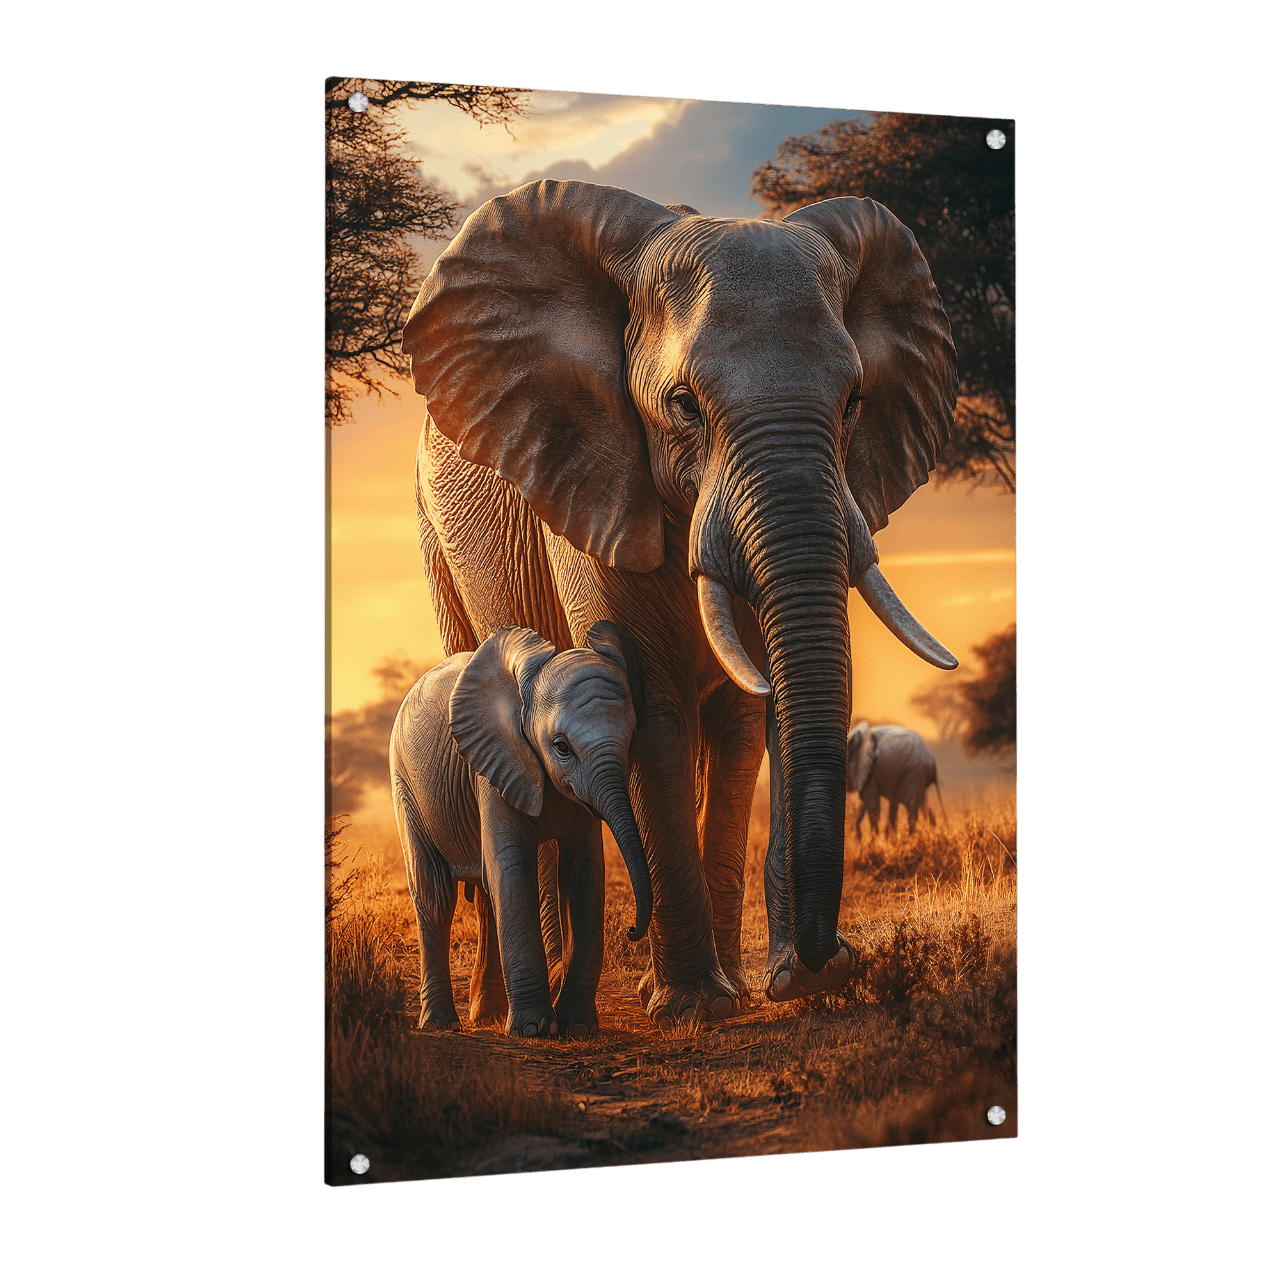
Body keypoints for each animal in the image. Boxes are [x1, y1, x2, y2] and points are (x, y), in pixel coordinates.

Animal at [388, 621, 651, 1038]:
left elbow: (585, 870)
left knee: (484, 892)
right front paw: (533, 1030)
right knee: (435, 895)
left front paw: (577, 1028)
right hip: (406, 785)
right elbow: (512, 870)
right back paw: (441, 1024)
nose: (630, 930)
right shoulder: (491, 765)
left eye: (629, 743)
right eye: (561, 747)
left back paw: (488, 1016)